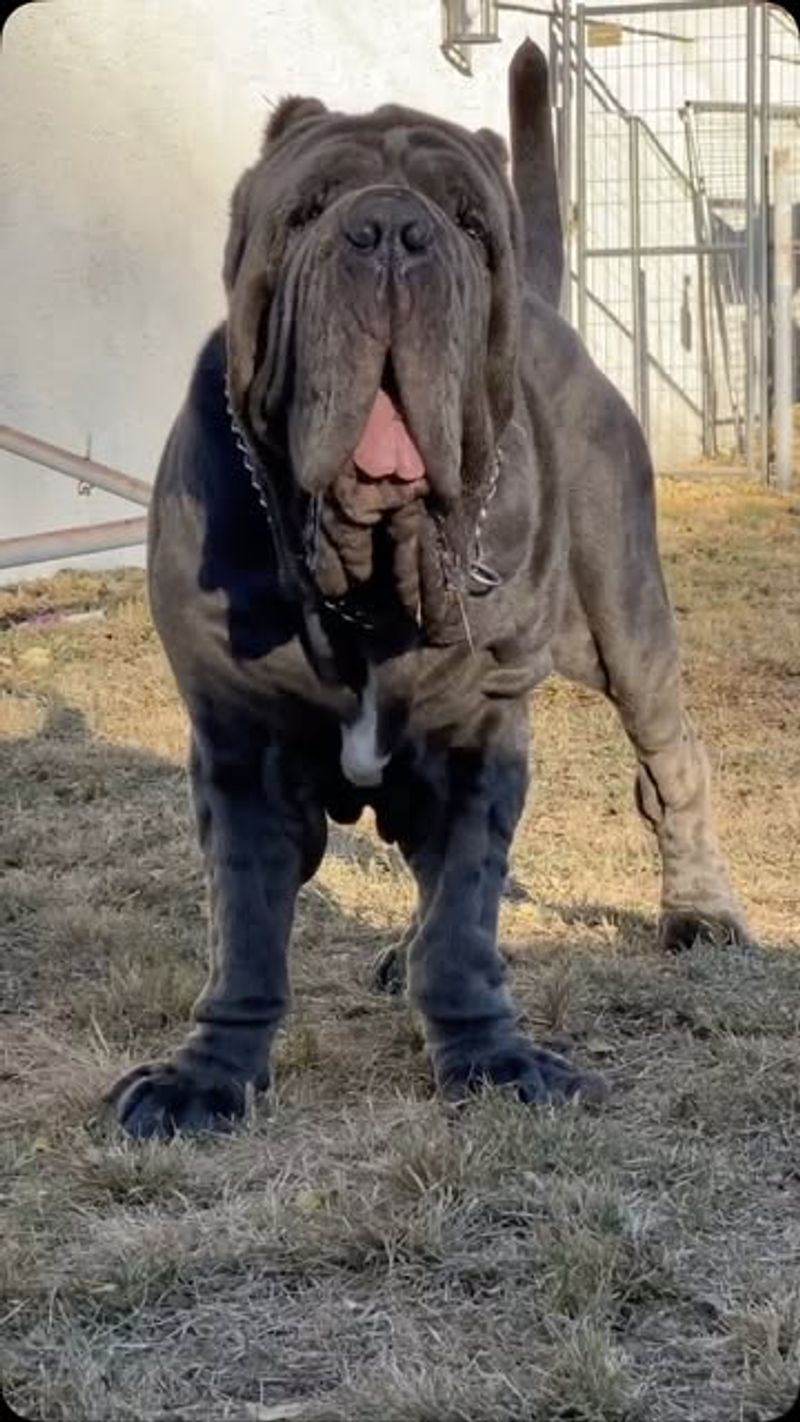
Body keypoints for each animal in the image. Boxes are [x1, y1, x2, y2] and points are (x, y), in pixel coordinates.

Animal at [107, 38, 750, 1137]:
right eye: (309, 209)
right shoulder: (240, 746)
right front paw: (207, 1074)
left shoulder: (474, 739)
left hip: (623, 619)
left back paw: (699, 911)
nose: (391, 233)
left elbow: (463, 922)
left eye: (465, 221)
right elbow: (246, 927)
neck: (368, 572)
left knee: (670, 764)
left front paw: (492, 1061)